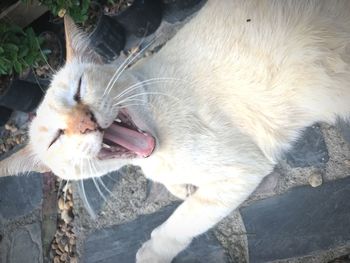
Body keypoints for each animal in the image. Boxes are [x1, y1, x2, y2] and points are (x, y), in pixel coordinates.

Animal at [0, 0, 350, 262]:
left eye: (79, 90)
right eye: (57, 137)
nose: (85, 122)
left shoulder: (241, 172)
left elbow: (180, 220)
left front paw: (152, 252)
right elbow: (174, 187)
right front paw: (181, 186)